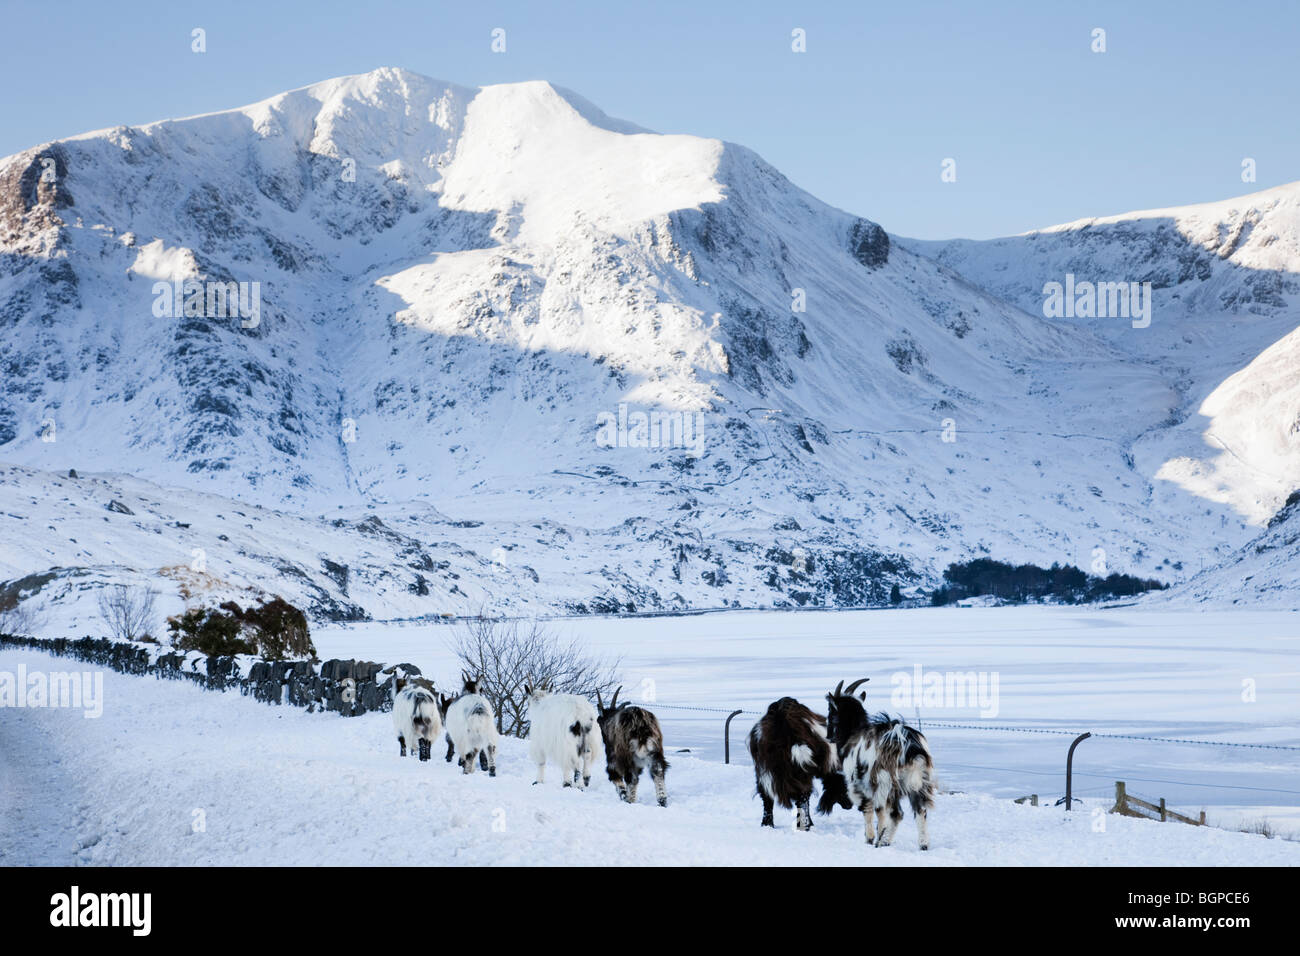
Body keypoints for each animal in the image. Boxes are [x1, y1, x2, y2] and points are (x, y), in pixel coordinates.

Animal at [747, 696, 849, 830]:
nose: (849, 805)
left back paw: (767, 824)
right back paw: (804, 826)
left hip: (765, 769)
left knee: (767, 796)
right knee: (802, 798)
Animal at [824, 678, 935, 850]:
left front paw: (870, 838)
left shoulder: (859, 783)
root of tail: (910, 747)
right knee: (920, 811)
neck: (853, 733)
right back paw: (923, 844)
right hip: (919, 781)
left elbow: (870, 810)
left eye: (831, 711)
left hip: (887, 781)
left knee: (896, 813)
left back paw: (883, 842)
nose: (828, 737)